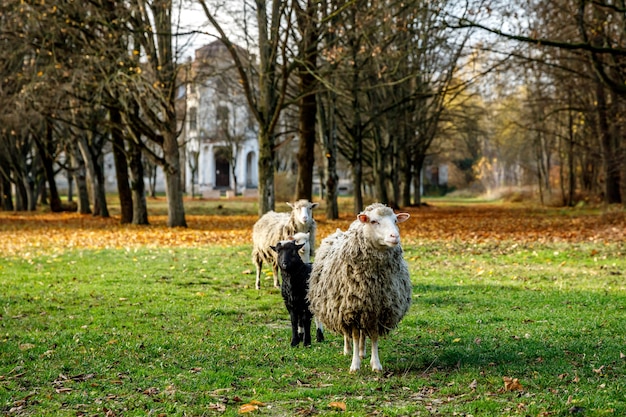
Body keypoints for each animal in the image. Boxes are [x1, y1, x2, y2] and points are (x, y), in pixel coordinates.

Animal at [306, 203, 412, 372]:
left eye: (395, 220)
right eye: (374, 221)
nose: (394, 237)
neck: (373, 281)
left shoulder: (377, 309)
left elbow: (373, 335)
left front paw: (376, 364)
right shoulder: (352, 309)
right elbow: (355, 335)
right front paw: (355, 365)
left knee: (363, 333)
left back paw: (362, 352)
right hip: (341, 307)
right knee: (347, 333)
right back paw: (348, 350)